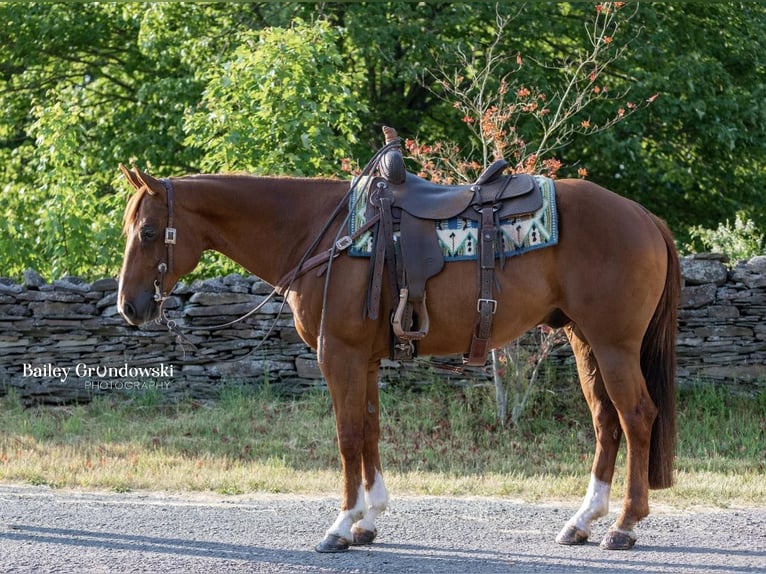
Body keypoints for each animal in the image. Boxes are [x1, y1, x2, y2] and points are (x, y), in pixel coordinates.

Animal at [117, 162, 680, 552]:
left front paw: (340, 526)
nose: (129, 305)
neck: (321, 233)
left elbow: (347, 437)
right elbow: (369, 430)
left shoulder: (338, 355)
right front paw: (368, 520)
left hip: (614, 345)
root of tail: (645, 216)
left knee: (636, 417)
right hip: (587, 343)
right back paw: (583, 521)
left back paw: (625, 526)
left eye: (148, 232)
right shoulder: (363, 361)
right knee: (606, 422)